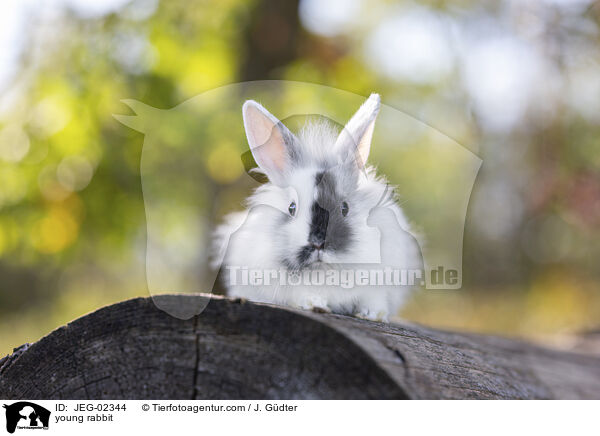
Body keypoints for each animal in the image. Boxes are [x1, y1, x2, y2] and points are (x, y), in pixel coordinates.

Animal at [211, 94, 422, 320]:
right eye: (292, 208)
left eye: (345, 208)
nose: (319, 242)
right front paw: (316, 305)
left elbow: (374, 298)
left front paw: (372, 314)